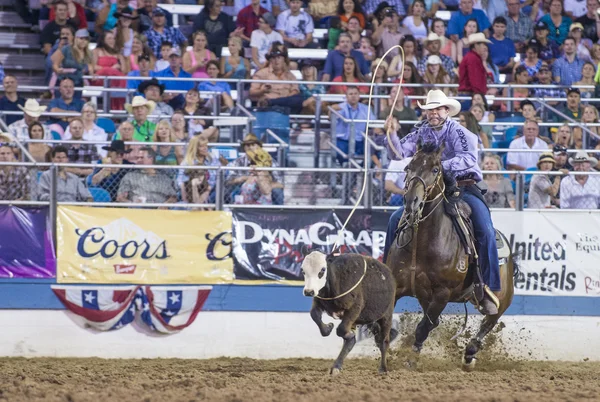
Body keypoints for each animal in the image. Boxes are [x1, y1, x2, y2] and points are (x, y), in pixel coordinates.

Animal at [386, 141, 516, 370]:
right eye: (408, 167)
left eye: (436, 169)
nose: (412, 201)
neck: (421, 242)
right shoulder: (400, 286)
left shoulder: (442, 293)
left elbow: (424, 327)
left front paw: (411, 359)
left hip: (503, 297)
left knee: (490, 321)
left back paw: (470, 353)